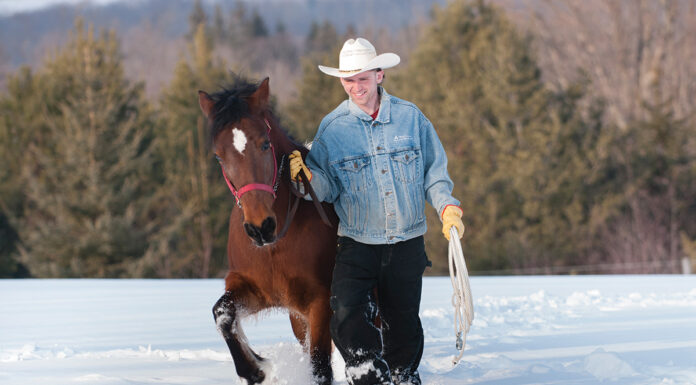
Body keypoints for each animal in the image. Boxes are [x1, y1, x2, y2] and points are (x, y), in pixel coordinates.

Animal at [197, 76, 338, 384]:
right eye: (218, 156)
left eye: (264, 145)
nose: (261, 227)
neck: (277, 245)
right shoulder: (252, 289)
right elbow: (222, 314)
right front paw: (256, 368)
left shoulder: (321, 302)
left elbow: (321, 368)